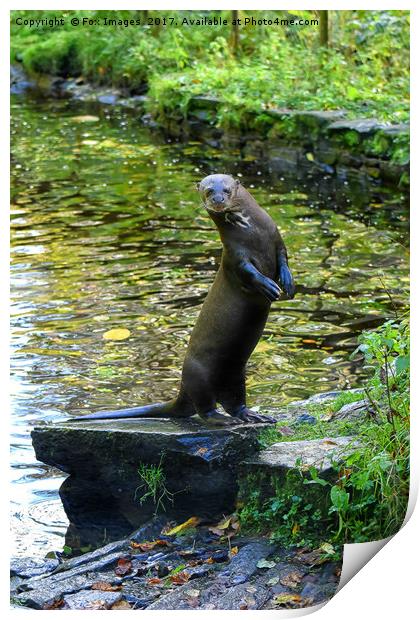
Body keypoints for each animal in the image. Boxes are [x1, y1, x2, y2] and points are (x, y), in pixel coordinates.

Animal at [71, 174, 296, 426]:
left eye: (226, 190)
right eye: (208, 191)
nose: (218, 200)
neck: (253, 233)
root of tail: (182, 390)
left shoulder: (276, 239)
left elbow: (284, 259)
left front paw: (287, 283)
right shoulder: (234, 257)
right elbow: (248, 272)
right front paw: (269, 286)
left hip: (236, 375)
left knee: (234, 402)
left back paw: (252, 415)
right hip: (199, 376)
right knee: (205, 408)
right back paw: (223, 420)